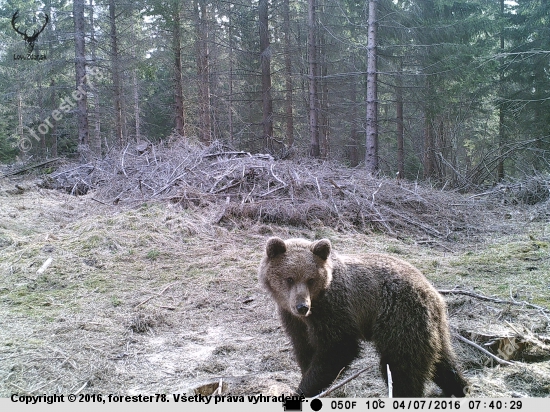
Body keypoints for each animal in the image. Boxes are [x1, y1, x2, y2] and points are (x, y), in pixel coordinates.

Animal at [260, 237, 470, 398]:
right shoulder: (293, 320)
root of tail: (433, 293)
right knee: (443, 361)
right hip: (431, 327)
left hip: (400, 318)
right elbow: (304, 349)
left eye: (311, 279)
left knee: (401, 367)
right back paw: (459, 388)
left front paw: (305, 388)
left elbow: (338, 348)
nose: (302, 306)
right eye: (289, 278)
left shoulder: (334, 310)